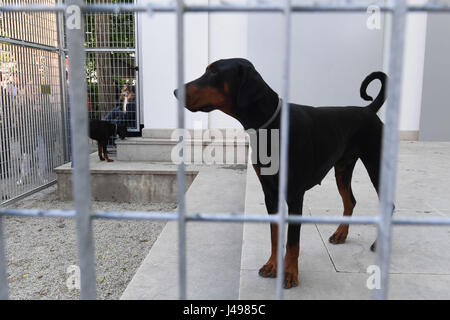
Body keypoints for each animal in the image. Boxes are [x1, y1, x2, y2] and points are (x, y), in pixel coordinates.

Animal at [174, 58, 388, 290]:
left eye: (213, 72)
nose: (176, 91)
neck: (270, 127)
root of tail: (368, 110)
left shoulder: (294, 195)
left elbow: (293, 241)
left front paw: (290, 274)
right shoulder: (270, 192)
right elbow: (275, 234)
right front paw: (272, 265)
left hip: (376, 165)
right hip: (342, 167)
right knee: (350, 201)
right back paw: (341, 234)